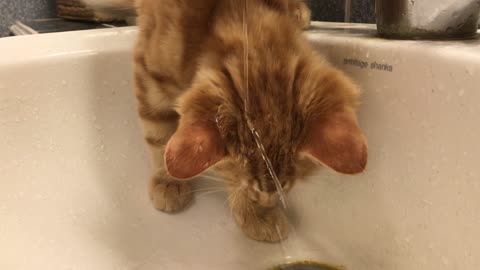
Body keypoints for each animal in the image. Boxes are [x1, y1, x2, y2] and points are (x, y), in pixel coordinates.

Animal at [83, 0, 368, 243]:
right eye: (254, 187)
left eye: (285, 185)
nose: (267, 202)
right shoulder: (149, 73)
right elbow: (158, 134)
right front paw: (168, 180)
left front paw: (255, 215)